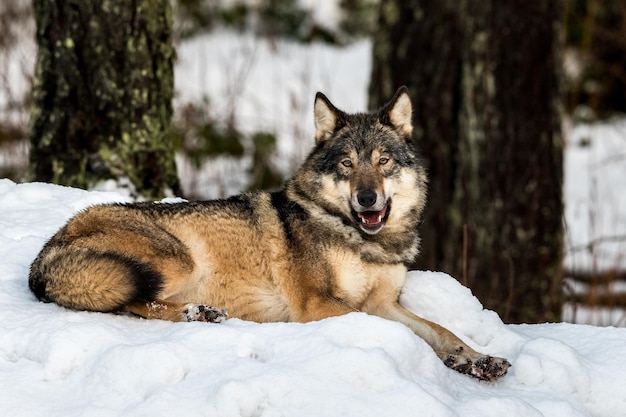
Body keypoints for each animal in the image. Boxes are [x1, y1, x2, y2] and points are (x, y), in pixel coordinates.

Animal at [28, 88, 508, 380]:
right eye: (347, 164)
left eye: (383, 161)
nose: (367, 198)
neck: (365, 241)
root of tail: (42, 257)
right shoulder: (319, 305)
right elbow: (408, 336)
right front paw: (447, 362)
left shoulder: (383, 303)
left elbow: (442, 330)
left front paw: (478, 359)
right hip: (172, 259)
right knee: (132, 301)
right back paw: (198, 313)